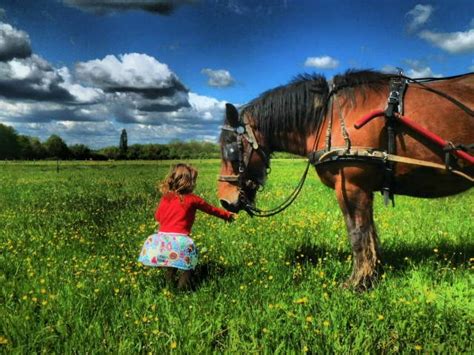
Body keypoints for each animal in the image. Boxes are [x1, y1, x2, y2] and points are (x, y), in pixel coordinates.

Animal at [217, 70, 472, 292]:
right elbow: (369, 233)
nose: (224, 200)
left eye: (231, 149)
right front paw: (372, 273)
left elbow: (357, 234)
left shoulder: (350, 187)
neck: (325, 116)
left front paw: (358, 282)